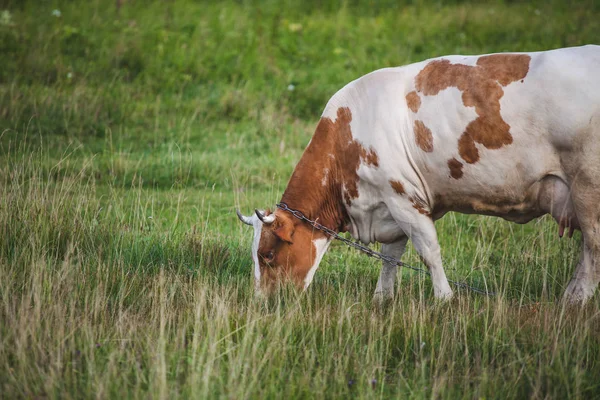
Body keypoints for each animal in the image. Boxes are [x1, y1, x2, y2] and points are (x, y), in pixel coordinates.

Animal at [237, 45, 600, 304]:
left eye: (267, 255)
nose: (261, 303)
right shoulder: (387, 207)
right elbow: (391, 258)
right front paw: (382, 299)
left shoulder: (403, 199)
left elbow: (428, 252)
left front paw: (444, 299)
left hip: (588, 187)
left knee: (592, 248)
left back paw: (577, 301)